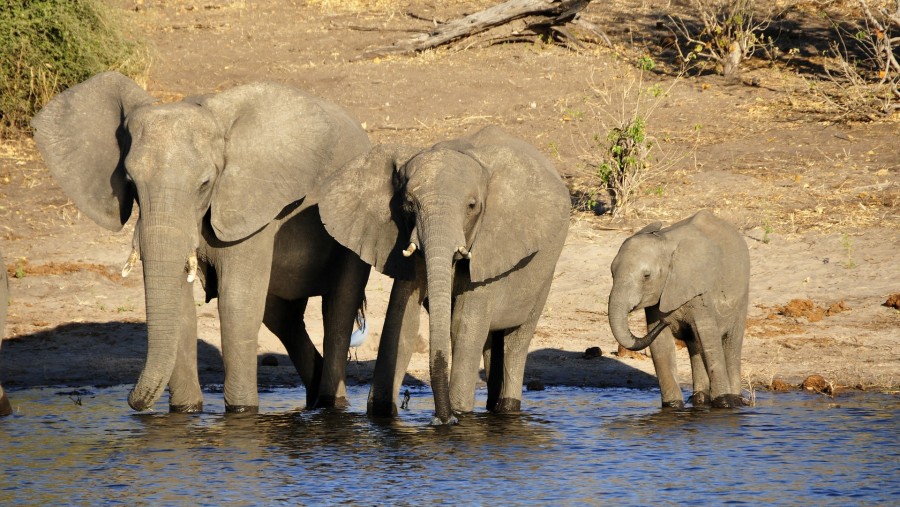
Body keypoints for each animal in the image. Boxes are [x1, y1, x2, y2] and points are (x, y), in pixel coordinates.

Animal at [30, 72, 370, 412]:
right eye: (130, 183)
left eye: (205, 184)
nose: (132, 401)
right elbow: (181, 306)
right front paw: (186, 412)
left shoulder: (251, 207)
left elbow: (236, 304)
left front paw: (242, 412)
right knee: (282, 317)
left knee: (338, 310)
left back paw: (331, 405)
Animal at [316, 127, 568, 424]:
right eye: (409, 204)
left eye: (472, 206)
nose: (443, 419)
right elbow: (402, 319)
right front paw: (382, 414)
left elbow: (463, 324)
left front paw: (459, 416)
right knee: (490, 343)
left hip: (545, 273)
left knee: (516, 341)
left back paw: (507, 407)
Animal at [608, 210, 748, 408]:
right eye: (612, 273)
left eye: (646, 276)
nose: (665, 321)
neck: (666, 244)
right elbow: (661, 346)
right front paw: (673, 406)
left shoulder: (700, 291)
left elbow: (709, 338)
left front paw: (724, 403)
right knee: (695, 343)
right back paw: (700, 399)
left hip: (742, 294)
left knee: (731, 342)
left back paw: (736, 401)